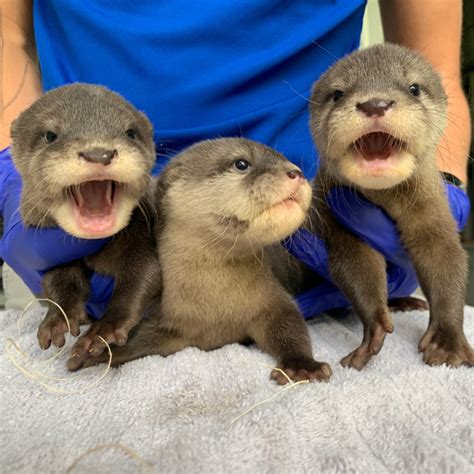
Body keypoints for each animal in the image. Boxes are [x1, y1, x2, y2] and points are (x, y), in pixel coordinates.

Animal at [10, 83, 161, 358]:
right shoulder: (50, 252)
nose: (99, 153)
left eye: (131, 132)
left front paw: (103, 330)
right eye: (50, 135)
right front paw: (57, 318)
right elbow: (55, 278)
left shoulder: (142, 236)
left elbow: (144, 275)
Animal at [74, 137, 332, 386]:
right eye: (241, 163)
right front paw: (95, 348)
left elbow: (290, 325)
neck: (217, 305)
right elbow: (139, 340)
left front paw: (303, 365)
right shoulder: (171, 321)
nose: (296, 172)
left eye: (285, 159)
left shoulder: (272, 300)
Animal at [306, 43, 472, 370]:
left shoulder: (435, 216)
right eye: (338, 93)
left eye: (413, 88)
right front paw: (374, 328)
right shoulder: (336, 221)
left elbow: (448, 265)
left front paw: (447, 342)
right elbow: (357, 268)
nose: (375, 103)